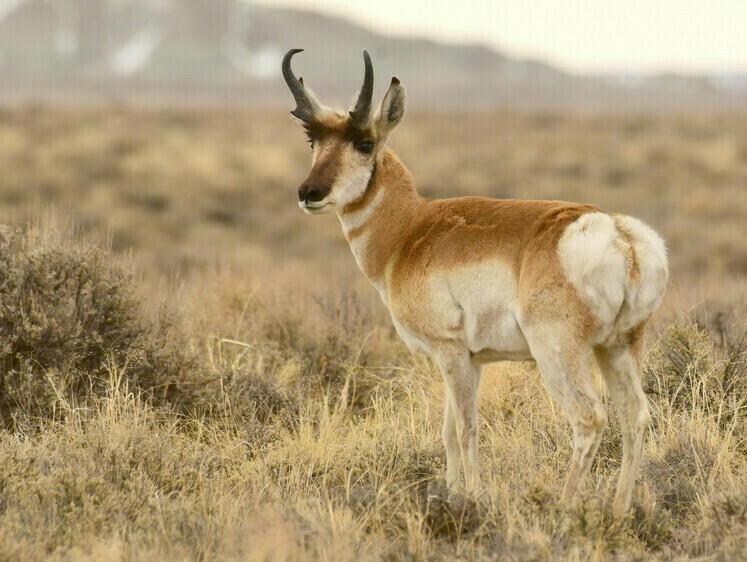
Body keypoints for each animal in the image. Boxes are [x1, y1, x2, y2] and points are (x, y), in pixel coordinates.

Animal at [284, 49, 668, 512]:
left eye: (365, 143)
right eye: (313, 142)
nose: (309, 192)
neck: (410, 230)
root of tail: (617, 233)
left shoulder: (449, 352)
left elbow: (467, 428)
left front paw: (474, 499)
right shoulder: (472, 360)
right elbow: (449, 431)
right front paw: (452, 493)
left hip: (559, 355)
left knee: (589, 418)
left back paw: (564, 507)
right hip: (618, 348)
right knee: (636, 416)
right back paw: (619, 510)